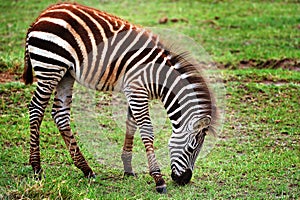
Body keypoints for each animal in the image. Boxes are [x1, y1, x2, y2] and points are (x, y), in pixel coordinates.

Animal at [21, 2, 218, 194]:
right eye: (193, 147)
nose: (184, 180)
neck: (158, 76)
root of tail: (40, 16)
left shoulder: (134, 90)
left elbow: (131, 126)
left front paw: (128, 168)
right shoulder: (137, 91)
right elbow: (146, 131)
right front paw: (158, 179)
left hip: (66, 73)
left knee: (60, 114)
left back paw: (86, 169)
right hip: (50, 67)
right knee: (36, 109)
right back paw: (37, 167)